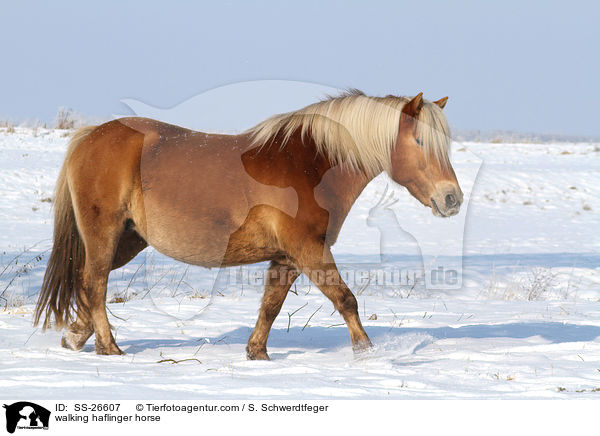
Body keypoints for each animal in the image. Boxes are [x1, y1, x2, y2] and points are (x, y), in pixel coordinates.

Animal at [34, 90, 464, 360]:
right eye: (420, 142)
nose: (452, 199)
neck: (311, 166)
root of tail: (91, 136)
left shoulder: (289, 256)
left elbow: (271, 307)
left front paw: (257, 353)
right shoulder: (310, 250)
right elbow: (346, 299)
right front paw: (367, 353)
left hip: (128, 239)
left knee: (88, 282)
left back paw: (76, 336)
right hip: (104, 234)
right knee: (95, 284)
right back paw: (110, 348)